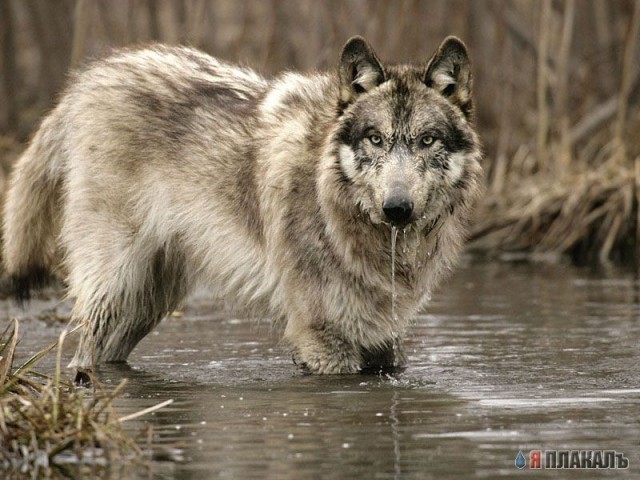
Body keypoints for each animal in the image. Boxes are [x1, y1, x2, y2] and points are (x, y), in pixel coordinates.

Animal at [1, 35, 480, 376]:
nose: (397, 208)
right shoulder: (323, 339)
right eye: (376, 139)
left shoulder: (386, 342)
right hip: (113, 283)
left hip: (147, 303)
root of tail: (86, 80)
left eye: (427, 140)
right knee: (80, 351)